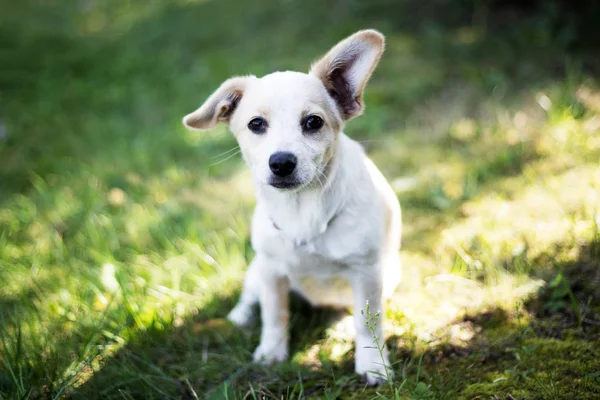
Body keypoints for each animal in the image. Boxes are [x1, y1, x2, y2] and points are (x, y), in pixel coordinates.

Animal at [180, 28, 400, 384]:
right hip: (256, 270)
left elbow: (369, 325)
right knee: (250, 297)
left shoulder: (366, 274)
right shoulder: (271, 272)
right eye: (256, 124)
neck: (302, 211)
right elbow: (274, 316)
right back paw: (238, 317)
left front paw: (373, 364)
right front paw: (271, 353)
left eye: (313, 122)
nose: (281, 163)